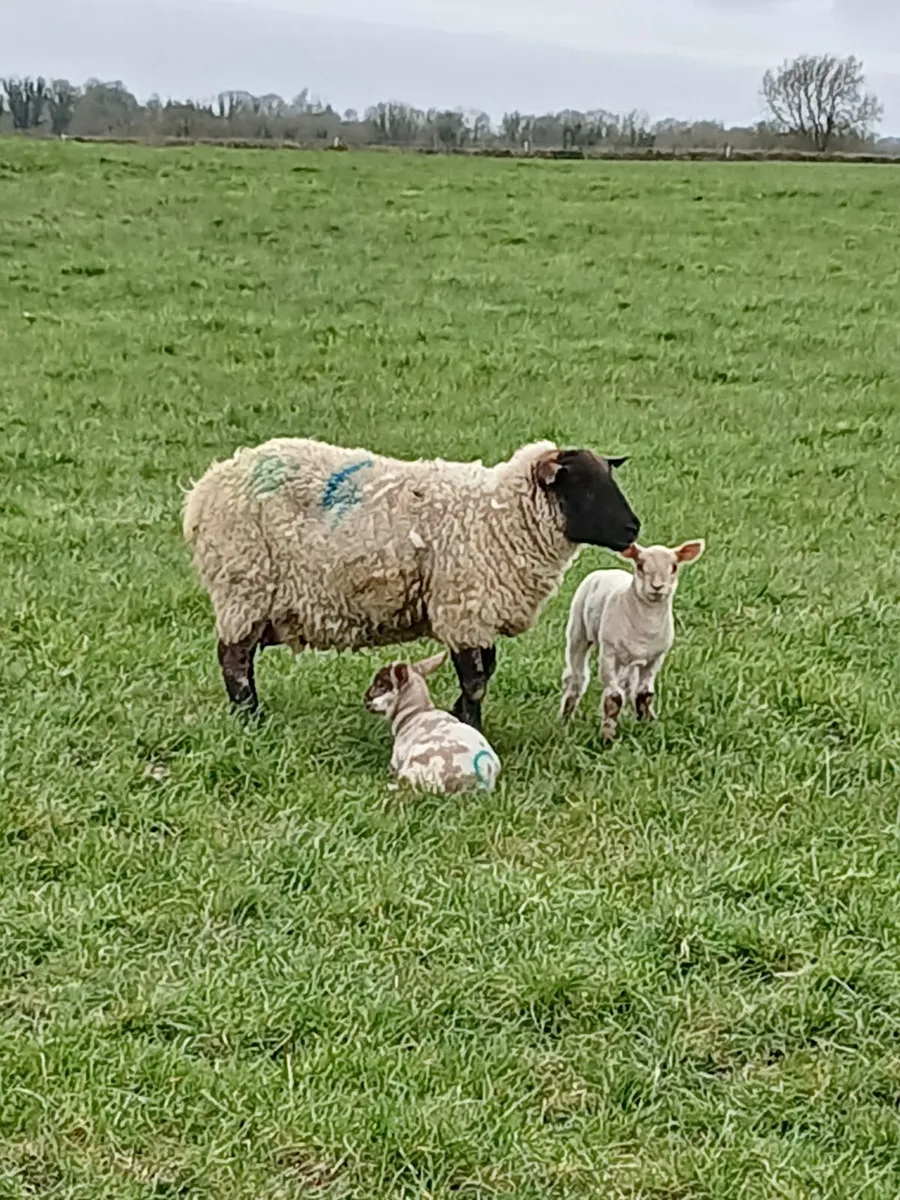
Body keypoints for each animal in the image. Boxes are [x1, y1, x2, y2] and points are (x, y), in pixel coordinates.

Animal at [183, 436, 640, 730]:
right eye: (583, 488)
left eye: (610, 480)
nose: (634, 529)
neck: (500, 515)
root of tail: (202, 492)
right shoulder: (462, 607)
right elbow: (475, 679)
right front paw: (470, 724)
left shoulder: (475, 612)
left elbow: (485, 670)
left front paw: (457, 713)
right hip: (244, 584)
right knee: (233, 659)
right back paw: (250, 718)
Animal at [559, 539, 705, 741]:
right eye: (640, 565)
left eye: (674, 567)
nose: (657, 587)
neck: (646, 627)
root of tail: (607, 570)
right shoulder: (609, 654)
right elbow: (613, 697)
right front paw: (607, 735)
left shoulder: (655, 658)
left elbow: (644, 694)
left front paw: (648, 725)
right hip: (578, 630)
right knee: (576, 677)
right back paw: (566, 717)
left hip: (628, 660)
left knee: (626, 683)